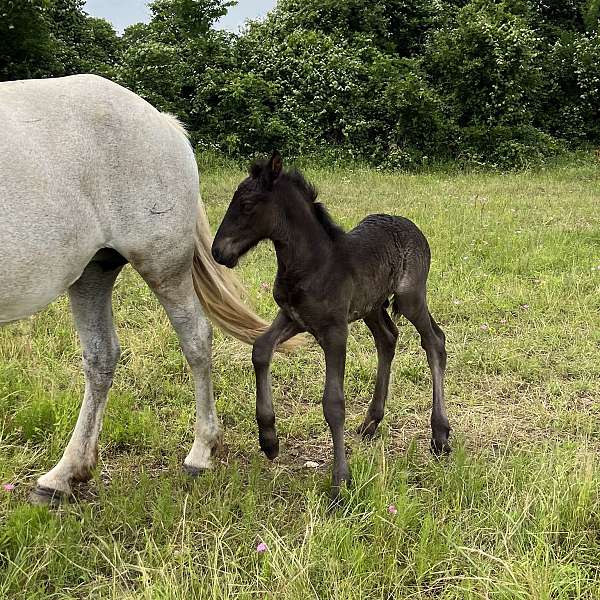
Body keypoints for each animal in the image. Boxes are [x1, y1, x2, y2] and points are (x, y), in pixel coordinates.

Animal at [0, 74, 272, 506]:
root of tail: (162, 121)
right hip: (92, 272)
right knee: (101, 357)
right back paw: (64, 476)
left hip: (162, 266)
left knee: (196, 339)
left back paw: (201, 453)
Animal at [212, 152, 450, 500]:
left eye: (246, 203)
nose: (218, 251)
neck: (314, 264)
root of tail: (409, 224)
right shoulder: (294, 318)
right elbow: (260, 349)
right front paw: (269, 439)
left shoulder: (335, 331)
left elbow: (333, 403)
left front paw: (340, 482)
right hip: (371, 307)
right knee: (388, 338)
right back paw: (371, 422)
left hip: (411, 298)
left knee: (434, 341)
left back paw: (440, 435)